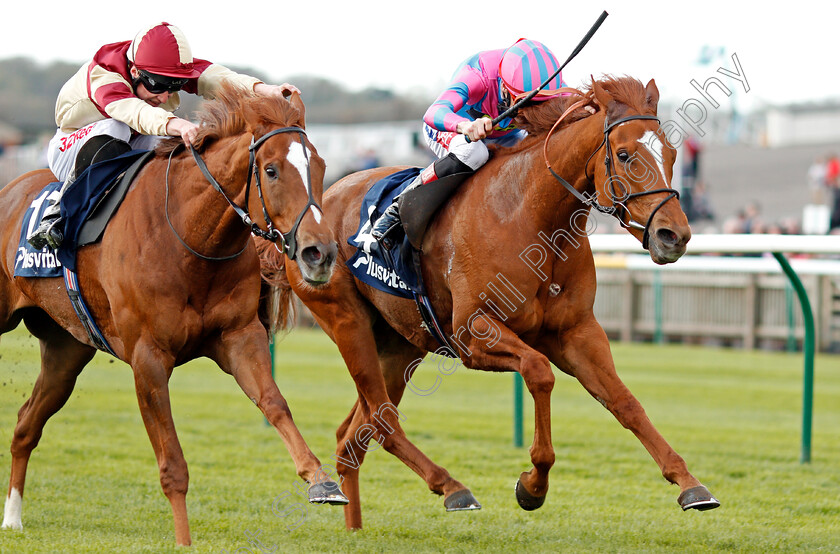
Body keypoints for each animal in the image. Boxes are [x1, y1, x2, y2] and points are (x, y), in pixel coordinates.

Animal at [0, 86, 344, 544]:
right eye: (271, 171)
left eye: (320, 167)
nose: (318, 253)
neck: (188, 237)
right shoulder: (148, 358)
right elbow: (172, 464)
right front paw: (183, 541)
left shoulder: (240, 336)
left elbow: (274, 402)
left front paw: (320, 480)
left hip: (66, 350)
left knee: (26, 424)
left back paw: (13, 517)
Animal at [274, 74, 716, 528]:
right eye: (625, 154)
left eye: (673, 152)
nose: (674, 235)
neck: (532, 215)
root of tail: (309, 213)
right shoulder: (472, 334)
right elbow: (539, 372)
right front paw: (533, 485)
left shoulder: (576, 332)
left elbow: (624, 401)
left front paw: (690, 484)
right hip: (348, 323)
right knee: (384, 424)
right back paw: (453, 488)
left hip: (400, 344)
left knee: (354, 436)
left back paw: (357, 528)